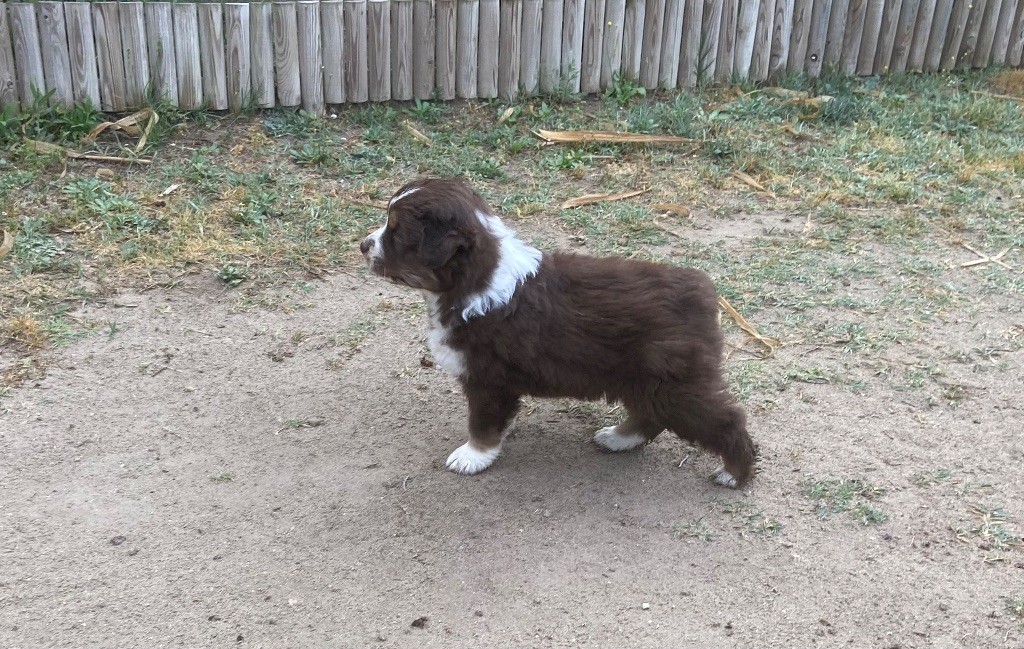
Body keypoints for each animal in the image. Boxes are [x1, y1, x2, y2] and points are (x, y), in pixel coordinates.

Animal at [358, 177, 753, 485]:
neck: (476, 281)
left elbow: (481, 424)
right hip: (645, 380)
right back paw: (618, 438)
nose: (363, 245)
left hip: (675, 384)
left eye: (396, 232)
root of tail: (702, 291)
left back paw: (735, 473)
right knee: (650, 415)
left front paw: (472, 456)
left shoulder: (487, 378)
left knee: (726, 420)